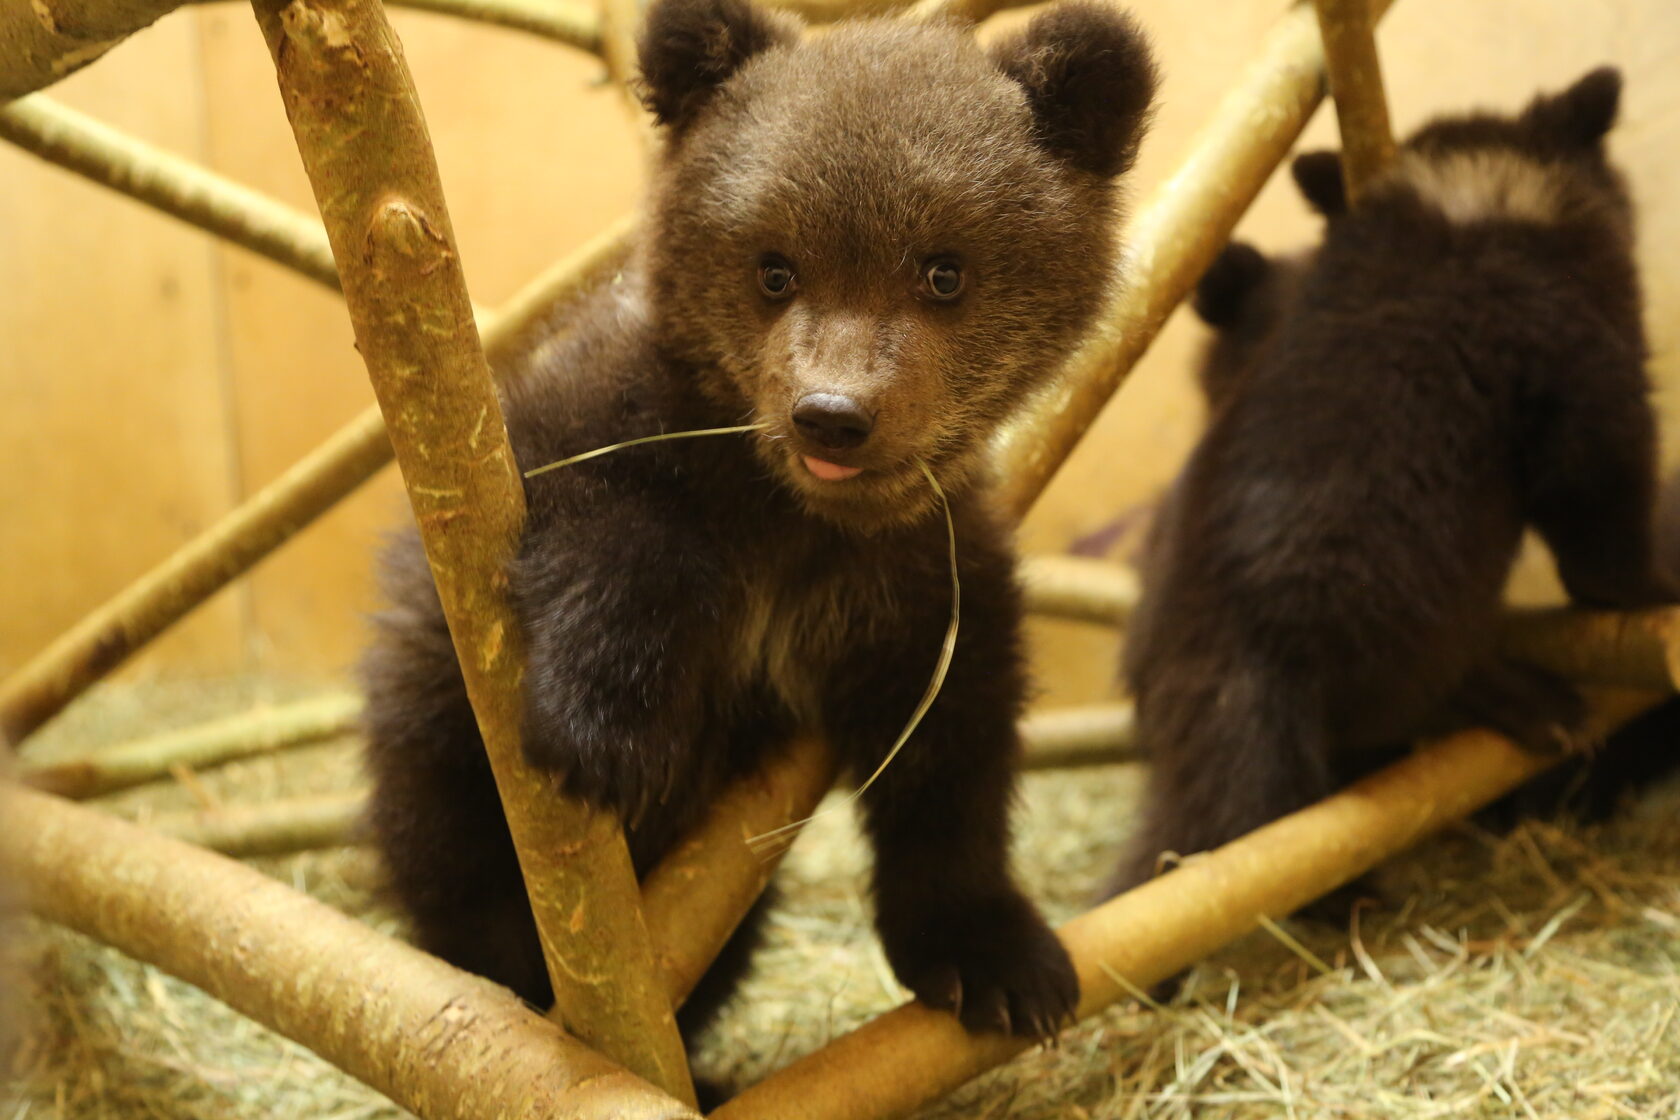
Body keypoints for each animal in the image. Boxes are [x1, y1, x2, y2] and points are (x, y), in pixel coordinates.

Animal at [359, 0, 1159, 1061]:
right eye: (774, 267)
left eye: (944, 270)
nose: (832, 415)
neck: (788, 522)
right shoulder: (571, 434)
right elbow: (610, 536)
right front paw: (606, 728)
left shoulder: (919, 574)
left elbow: (953, 747)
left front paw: (992, 955)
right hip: (435, 752)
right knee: (462, 887)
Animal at [1109, 67, 1669, 899]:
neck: (1475, 197)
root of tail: (1232, 663)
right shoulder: (1579, 363)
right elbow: (1602, 501)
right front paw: (1649, 588)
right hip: (1411, 615)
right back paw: (1531, 703)